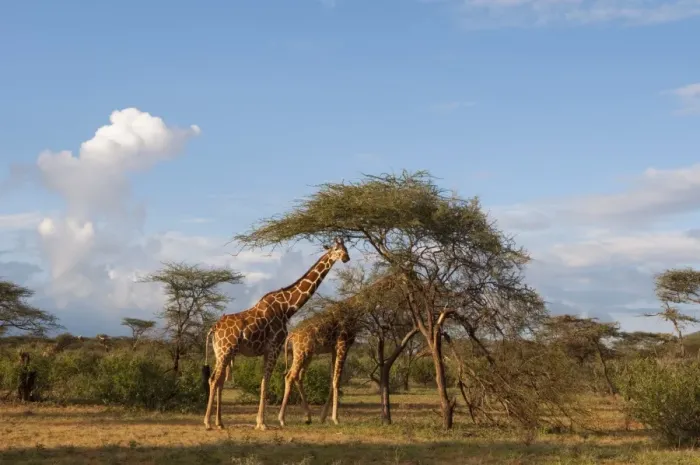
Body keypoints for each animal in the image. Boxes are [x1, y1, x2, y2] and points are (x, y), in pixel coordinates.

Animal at [202, 237, 350, 431]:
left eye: (345, 248)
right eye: (336, 249)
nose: (346, 258)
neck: (288, 308)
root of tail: (214, 328)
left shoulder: (268, 350)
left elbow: (263, 382)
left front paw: (260, 421)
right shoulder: (275, 347)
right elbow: (265, 382)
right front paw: (262, 423)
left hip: (222, 352)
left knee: (218, 381)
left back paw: (220, 423)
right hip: (225, 350)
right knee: (214, 380)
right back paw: (207, 423)